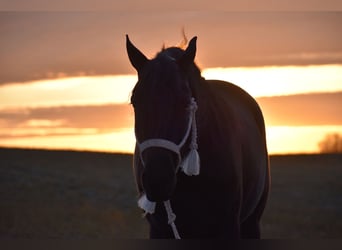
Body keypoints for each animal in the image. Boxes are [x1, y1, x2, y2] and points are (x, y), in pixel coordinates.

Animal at [125, 34, 270, 238]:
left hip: (252, 222)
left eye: (185, 102)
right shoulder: (159, 230)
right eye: (134, 101)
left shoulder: (229, 227)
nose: (158, 180)